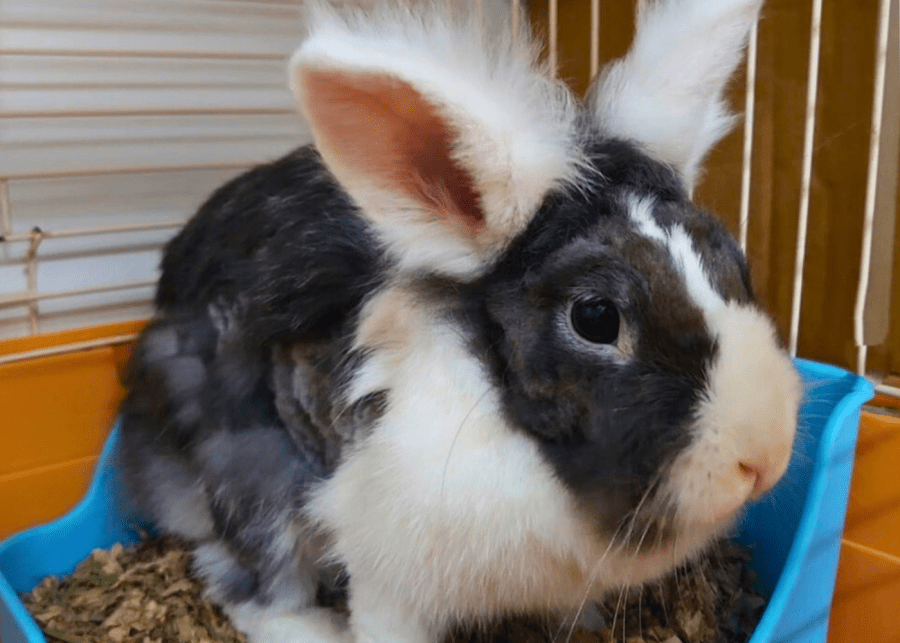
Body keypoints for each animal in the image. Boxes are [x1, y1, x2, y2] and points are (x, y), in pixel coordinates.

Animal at [117, 0, 803, 642]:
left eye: (732, 258)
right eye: (596, 317)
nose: (764, 459)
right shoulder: (385, 570)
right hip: (250, 479)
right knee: (247, 587)